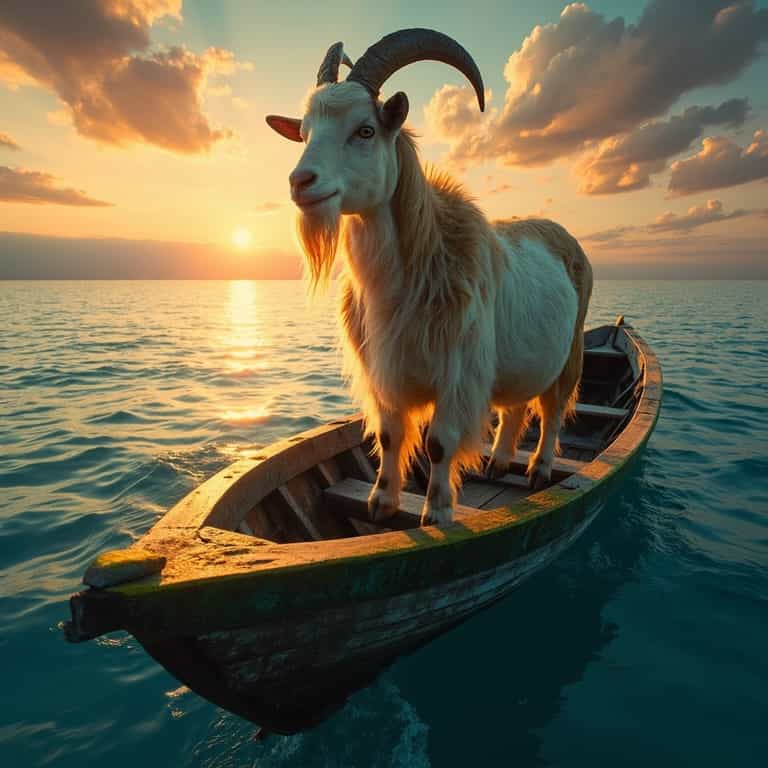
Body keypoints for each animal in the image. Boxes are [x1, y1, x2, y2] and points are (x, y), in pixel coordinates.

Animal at [267, 30, 593, 525]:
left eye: (366, 129)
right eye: (303, 133)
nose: (301, 181)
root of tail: (561, 233)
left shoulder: (457, 373)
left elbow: (440, 443)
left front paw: (436, 512)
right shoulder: (383, 370)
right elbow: (388, 434)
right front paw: (381, 503)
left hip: (570, 348)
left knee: (553, 409)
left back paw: (539, 469)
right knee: (516, 405)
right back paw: (499, 462)